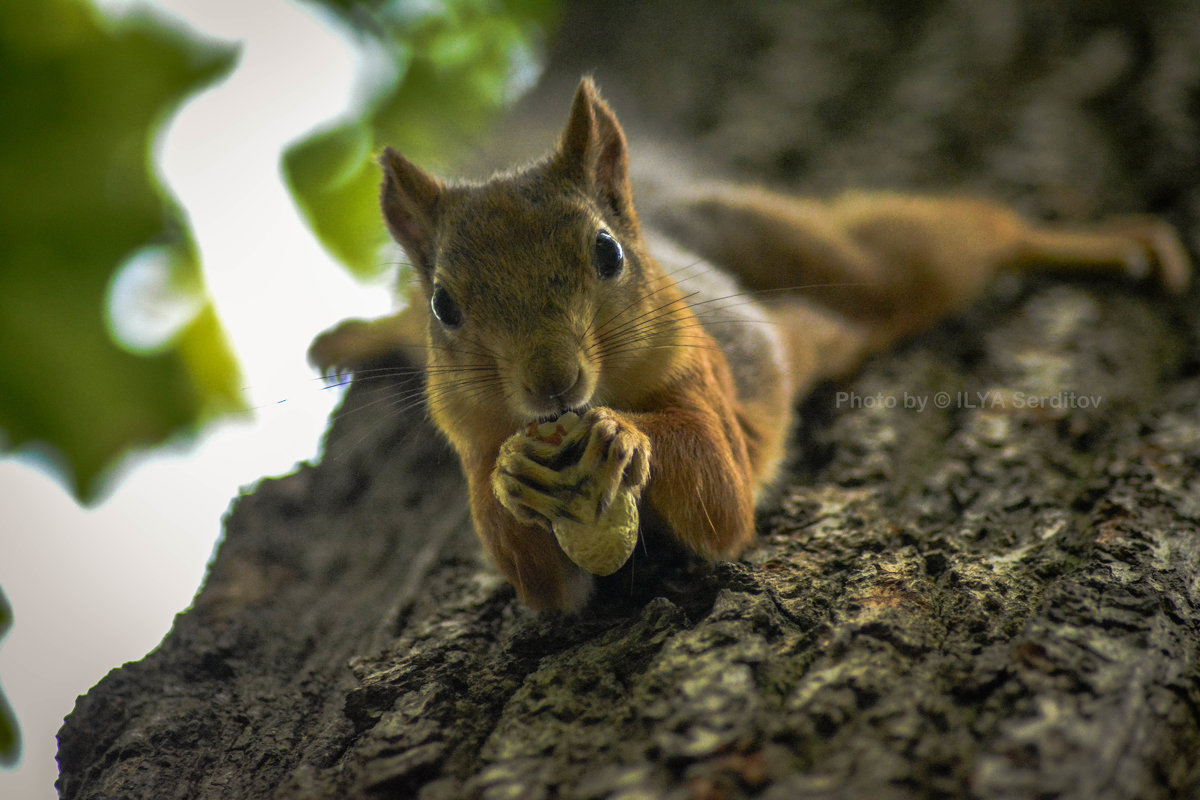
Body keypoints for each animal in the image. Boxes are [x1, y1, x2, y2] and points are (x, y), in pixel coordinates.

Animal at [309, 76, 1190, 614]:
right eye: (447, 305)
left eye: (607, 254)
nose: (553, 384)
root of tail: (673, 211)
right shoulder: (472, 434)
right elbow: (544, 584)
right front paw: (512, 476)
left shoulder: (703, 372)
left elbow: (723, 494)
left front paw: (628, 435)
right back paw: (357, 336)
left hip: (847, 262)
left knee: (966, 239)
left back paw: (1109, 244)